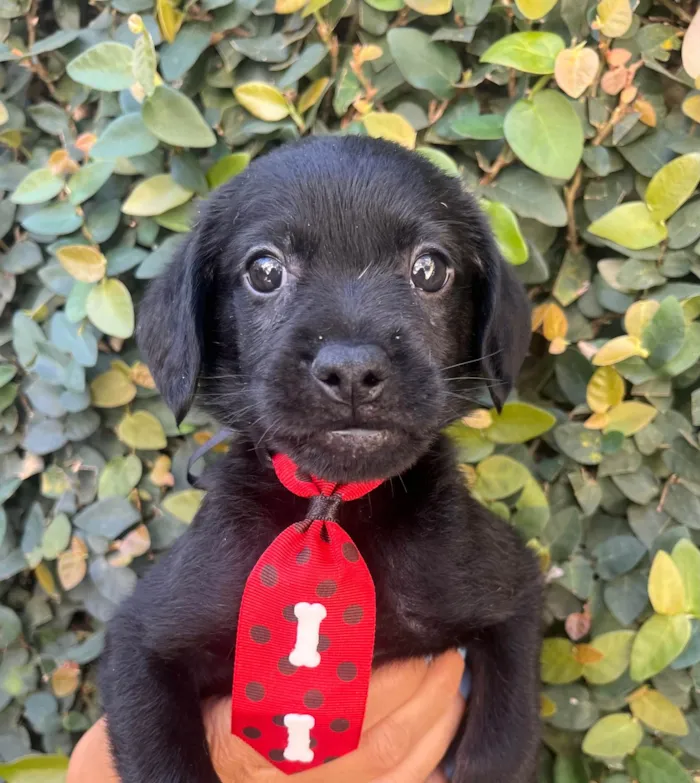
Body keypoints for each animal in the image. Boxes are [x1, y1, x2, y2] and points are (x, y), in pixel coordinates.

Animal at [101, 138, 540, 780]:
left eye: (430, 269)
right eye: (264, 271)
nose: (353, 370)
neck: (331, 504)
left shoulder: (512, 597)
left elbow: (498, 747)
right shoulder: (141, 641)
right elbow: (168, 766)